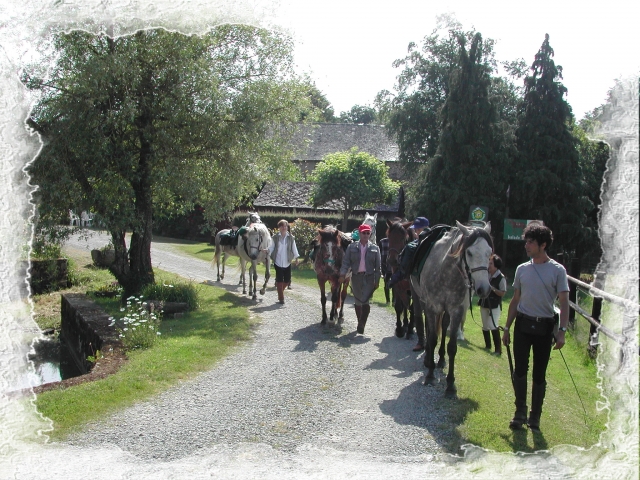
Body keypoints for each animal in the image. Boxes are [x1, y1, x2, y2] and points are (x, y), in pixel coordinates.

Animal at [412, 221, 493, 397]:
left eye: (489, 253)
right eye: (469, 252)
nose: (484, 289)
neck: (445, 272)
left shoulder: (456, 311)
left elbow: (452, 347)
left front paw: (450, 384)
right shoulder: (432, 307)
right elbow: (432, 338)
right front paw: (430, 375)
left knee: (443, 327)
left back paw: (441, 360)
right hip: (424, 302)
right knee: (429, 328)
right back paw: (428, 358)